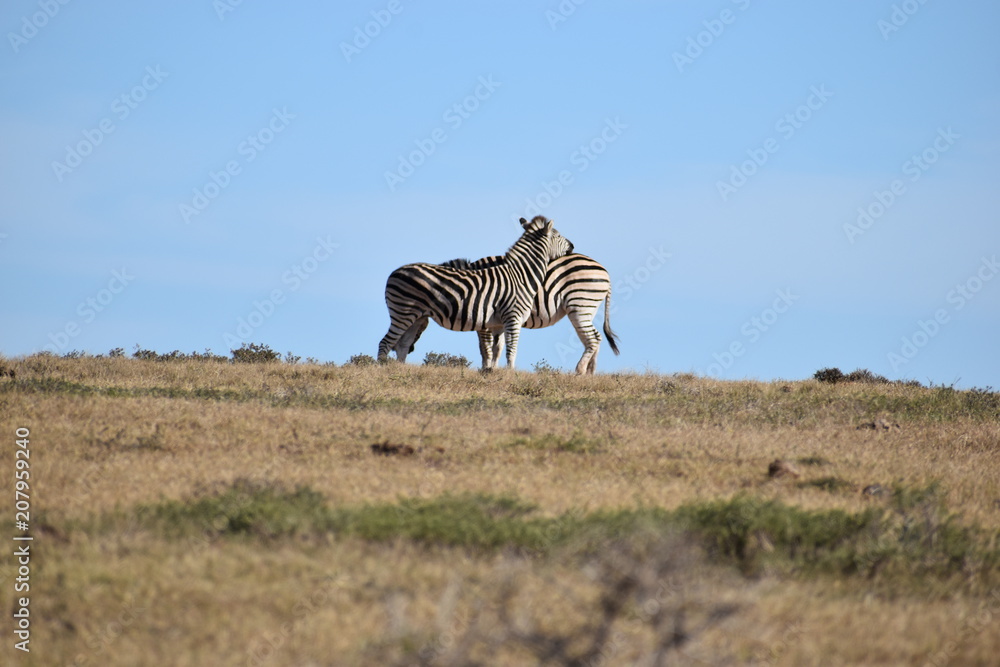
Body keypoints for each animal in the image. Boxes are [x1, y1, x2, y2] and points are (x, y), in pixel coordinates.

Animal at [377, 216, 574, 370]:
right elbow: (511, 350)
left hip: (416, 317)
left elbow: (495, 350)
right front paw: (511, 374)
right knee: (385, 342)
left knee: (402, 345)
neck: (521, 275)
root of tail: (394, 272)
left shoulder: (498, 322)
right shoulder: (513, 317)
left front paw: (493, 372)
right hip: (403, 312)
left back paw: (400, 372)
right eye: (558, 235)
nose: (573, 246)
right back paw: (383, 372)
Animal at [404, 253, 620, 374]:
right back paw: (591, 372)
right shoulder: (498, 321)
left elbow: (485, 348)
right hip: (586, 308)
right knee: (595, 337)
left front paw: (487, 368)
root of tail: (604, 271)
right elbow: (497, 347)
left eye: (421, 325)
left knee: (592, 338)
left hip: (580, 305)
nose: (410, 349)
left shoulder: (484, 320)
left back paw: (580, 370)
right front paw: (493, 369)